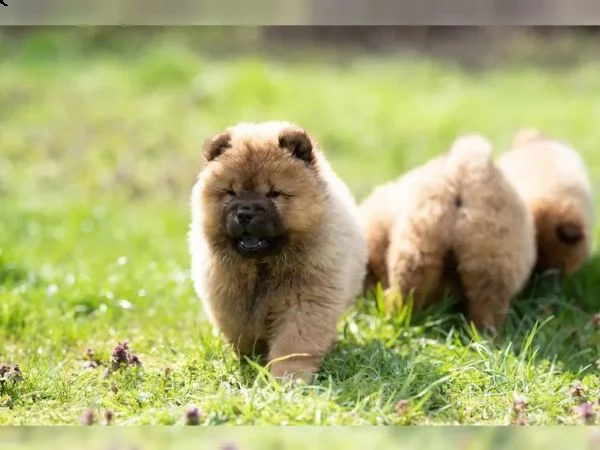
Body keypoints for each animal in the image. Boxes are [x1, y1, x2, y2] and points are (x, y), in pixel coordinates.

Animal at [189, 121, 366, 382]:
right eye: (231, 192)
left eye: (273, 193)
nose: (245, 213)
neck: (263, 267)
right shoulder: (230, 301)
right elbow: (244, 335)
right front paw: (253, 362)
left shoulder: (305, 301)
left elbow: (294, 345)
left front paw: (288, 378)